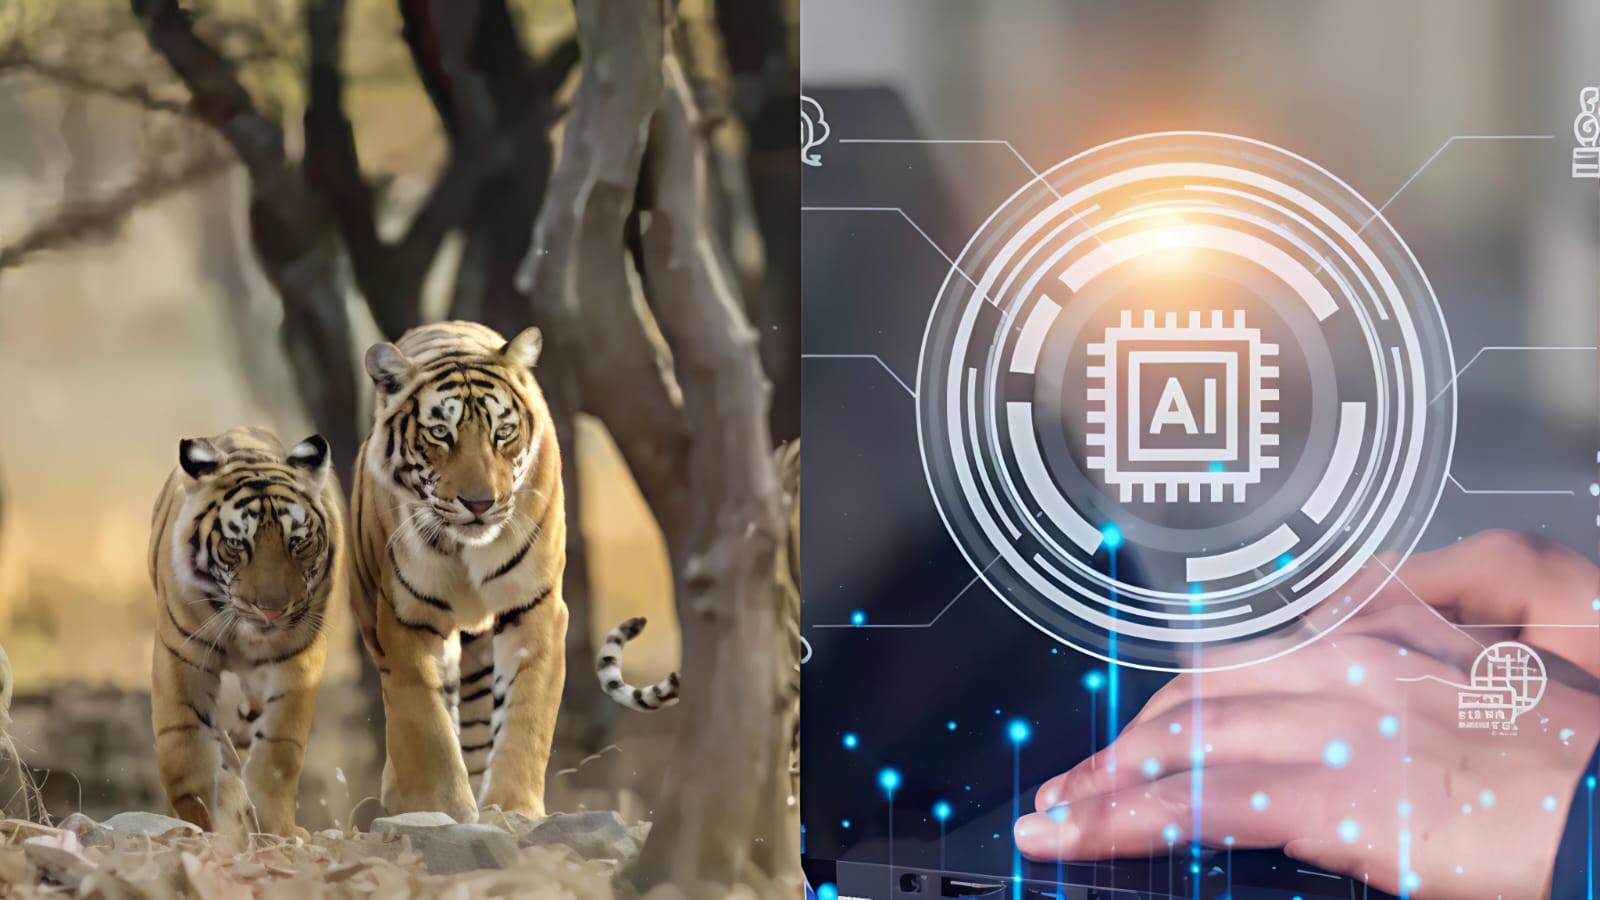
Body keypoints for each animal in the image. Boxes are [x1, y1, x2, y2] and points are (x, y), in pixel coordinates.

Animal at [148, 426, 343, 837]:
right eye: (237, 543)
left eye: (298, 541)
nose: (270, 609)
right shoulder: (181, 654)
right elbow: (183, 745)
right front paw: (199, 822)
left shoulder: (298, 659)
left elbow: (279, 751)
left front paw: (278, 829)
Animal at [349, 321, 678, 822]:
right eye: (440, 433)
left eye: (503, 432)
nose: (480, 503)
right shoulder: (406, 621)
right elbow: (425, 724)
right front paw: (438, 807)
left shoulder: (533, 610)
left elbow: (525, 717)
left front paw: (512, 809)